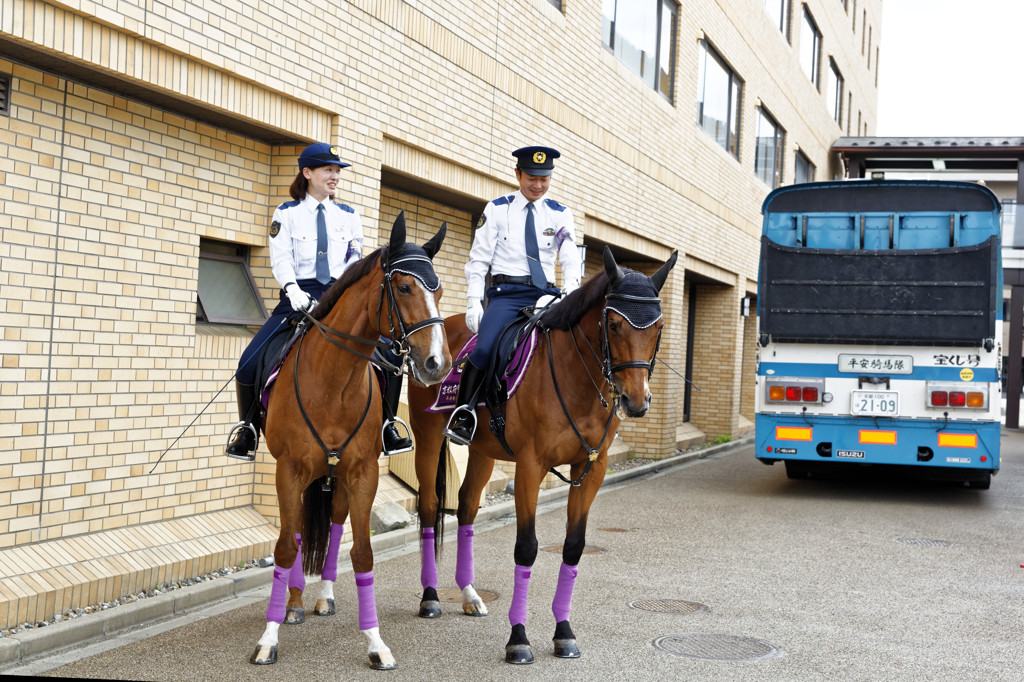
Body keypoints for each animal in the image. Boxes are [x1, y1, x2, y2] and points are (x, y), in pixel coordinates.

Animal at [245, 214, 450, 667]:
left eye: (439, 288)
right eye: (404, 288)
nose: (436, 364)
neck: (334, 382)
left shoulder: (363, 473)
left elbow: (361, 553)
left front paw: (375, 643)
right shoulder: (288, 470)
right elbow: (285, 548)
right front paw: (267, 640)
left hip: (334, 476)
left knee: (333, 524)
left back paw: (321, 599)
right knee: (298, 533)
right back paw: (293, 605)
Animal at [407, 245, 679, 663]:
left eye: (658, 327)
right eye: (614, 325)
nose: (636, 401)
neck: (575, 378)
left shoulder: (591, 468)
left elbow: (574, 547)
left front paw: (564, 632)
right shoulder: (530, 467)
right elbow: (527, 548)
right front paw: (518, 639)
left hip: (484, 452)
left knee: (467, 507)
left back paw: (468, 595)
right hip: (429, 437)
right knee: (429, 506)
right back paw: (431, 597)